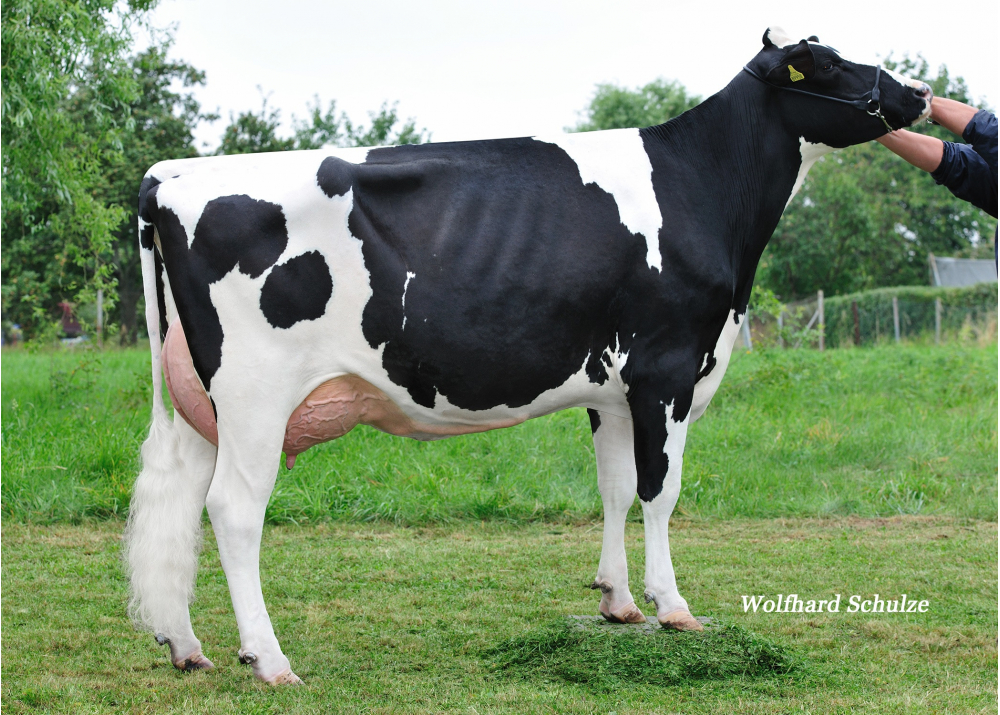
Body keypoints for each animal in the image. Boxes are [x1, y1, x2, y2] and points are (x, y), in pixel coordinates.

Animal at [123, 28, 928, 684]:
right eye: (824, 62)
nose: (918, 92)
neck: (700, 187)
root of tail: (173, 174)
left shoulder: (612, 390)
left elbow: (613, 489)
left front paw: (618, 601)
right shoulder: (667, 371)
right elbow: (659, 492)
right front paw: (673, 606)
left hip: (200, 401)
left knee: (181, 501)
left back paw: (186, 645)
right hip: (256, 391)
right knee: (233, 510)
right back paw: (269, 659)